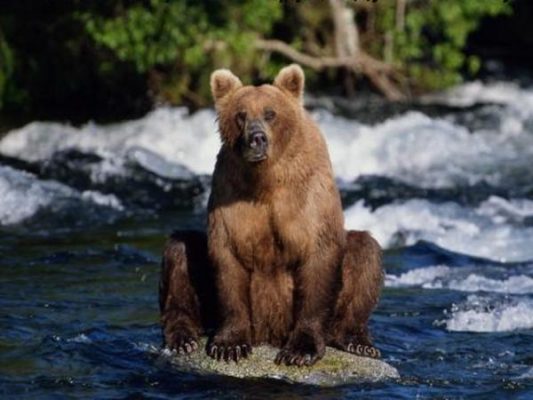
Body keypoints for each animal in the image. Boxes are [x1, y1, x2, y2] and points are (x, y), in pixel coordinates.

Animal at [158, 64, 382, 368]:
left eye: (270, 113)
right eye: (241, 114)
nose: (257, 138)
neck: (266, 180)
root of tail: (269, 334)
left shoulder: (309, 198)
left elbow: (319, 258)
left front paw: (301, 350)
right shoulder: (230, 193)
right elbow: (227, 259)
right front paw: (230, 345)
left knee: (364, 251)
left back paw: (357, 341)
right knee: (181, 250)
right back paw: (184, 337)